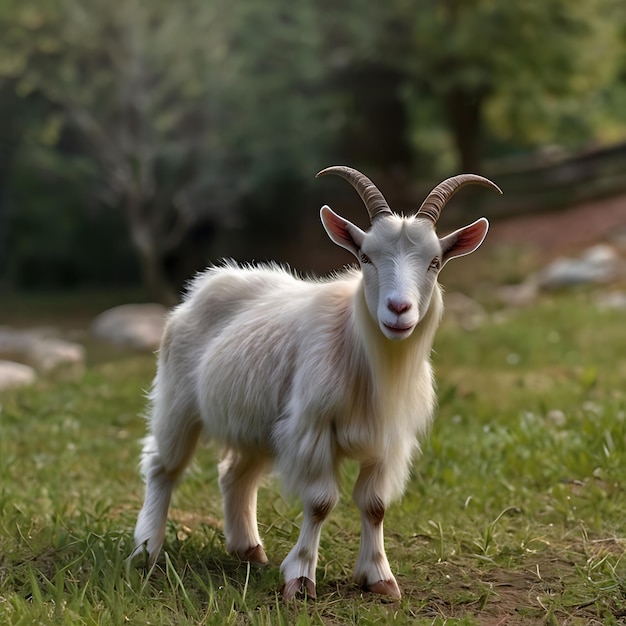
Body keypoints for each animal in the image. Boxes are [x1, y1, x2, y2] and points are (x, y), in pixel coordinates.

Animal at [130, 163, 498, 596]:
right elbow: (321, 502)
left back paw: (247, 549)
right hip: (178, 401)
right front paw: (301, 577)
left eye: (435, 262)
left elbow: (375, 505)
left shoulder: (388, 438)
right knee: (162, 466)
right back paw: (146, 550)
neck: (364, 356)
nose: (398, 309)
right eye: (366, 256)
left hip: (257, 423)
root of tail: (203, 286)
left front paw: (379, 577)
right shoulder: (312, 428)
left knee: (235, 474)